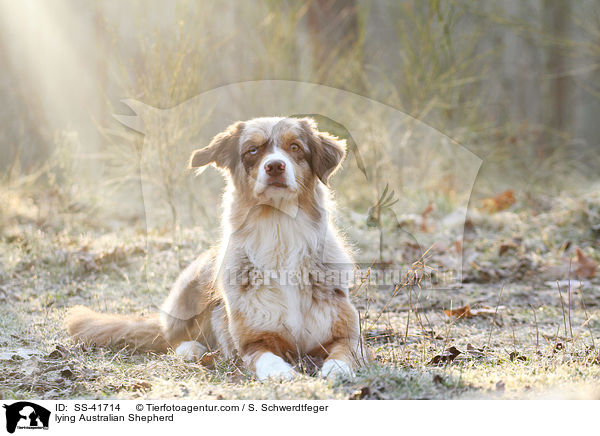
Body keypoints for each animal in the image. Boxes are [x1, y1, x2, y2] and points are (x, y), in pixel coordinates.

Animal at [65, 117, 366, 380]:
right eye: (252, 150)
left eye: (295, 147)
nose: (275, 167)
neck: (279, 229)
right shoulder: (252, 342)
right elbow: (266, 358)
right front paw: (281, 374)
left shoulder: (346, 334)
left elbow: (344, 353)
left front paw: (337, 371)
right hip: (192, 282)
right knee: (173, 338)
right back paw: (192, 349)